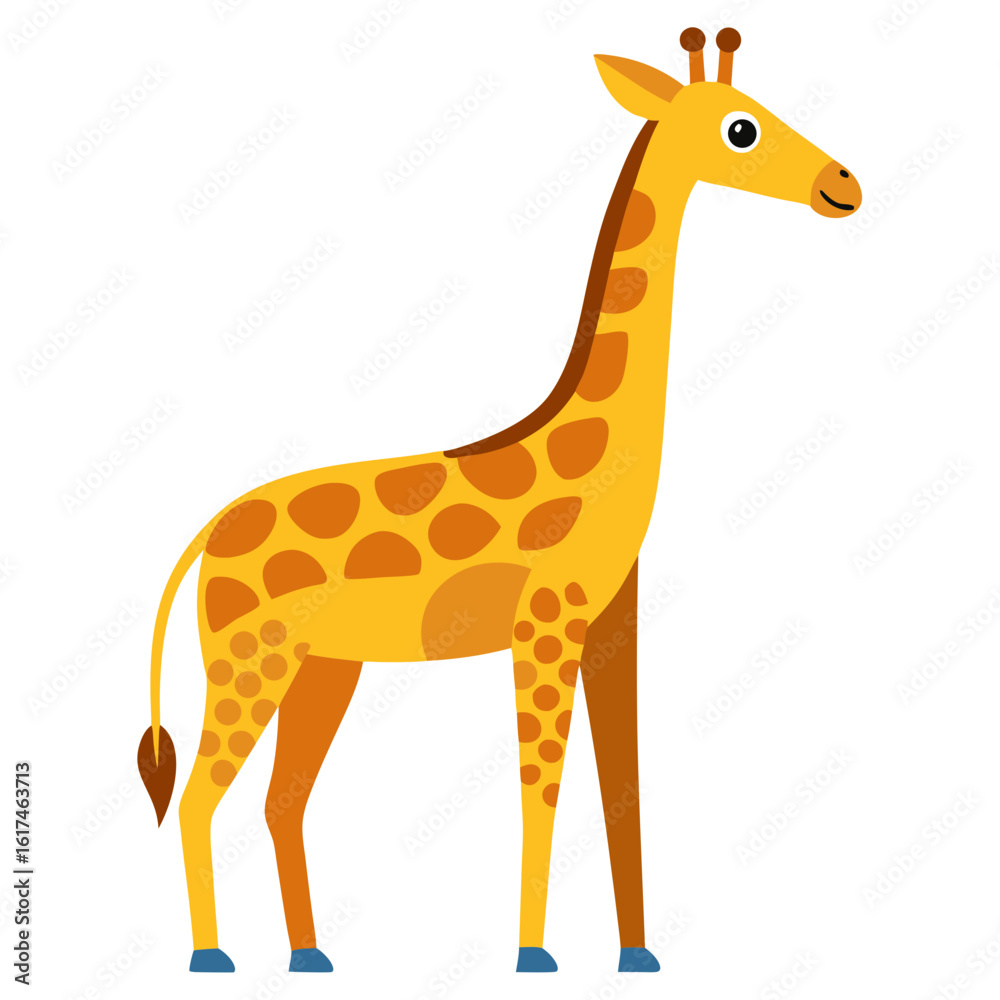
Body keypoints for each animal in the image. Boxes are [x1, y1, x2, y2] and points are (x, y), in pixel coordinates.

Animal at [138, 28, 861, 975]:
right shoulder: (543, 625)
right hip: (247, 657)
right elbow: (539, 794)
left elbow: (623, 787)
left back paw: (311, 956)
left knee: (278, 800)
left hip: (325, 666)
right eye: (742, 128)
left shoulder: (613, 622)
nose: (844, 184)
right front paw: (533, 956)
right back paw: (211, 958)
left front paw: (637, 956)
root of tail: (205, 535)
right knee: (197, 798)